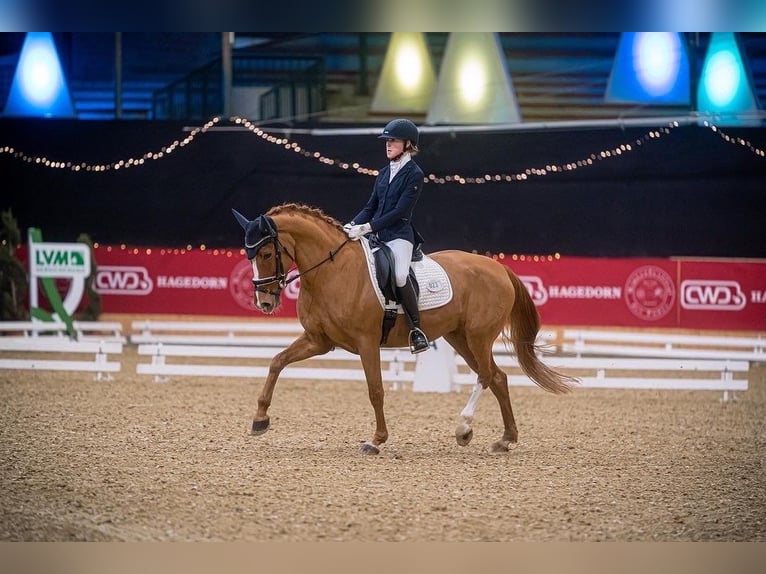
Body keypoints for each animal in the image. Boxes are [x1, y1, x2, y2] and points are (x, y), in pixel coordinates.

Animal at [231, 205, 580, 456]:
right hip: (460, 337)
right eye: (249, 256)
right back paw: (505, 439)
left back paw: (464, 428)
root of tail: (499, 267)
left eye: (266, 254)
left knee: (485, 375)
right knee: (498, 378)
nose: (264, 302)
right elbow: (277, 361)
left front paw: (376, 440)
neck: (332, 271)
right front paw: (260, 419)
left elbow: (376, 390)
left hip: (479, 336)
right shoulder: (319, 341)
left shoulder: (366, 342)